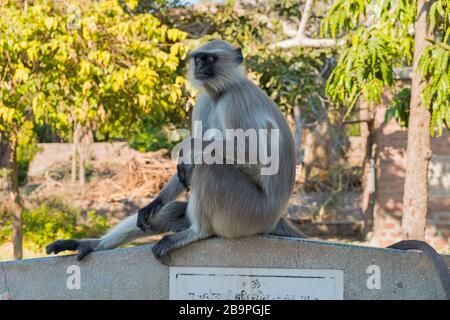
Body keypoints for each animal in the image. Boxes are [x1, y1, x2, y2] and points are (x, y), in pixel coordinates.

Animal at [44, 39, 306, 262]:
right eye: (198, 59)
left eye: (209, 59)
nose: (199, 66)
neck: (220, 92)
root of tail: (275, 217)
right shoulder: (204, 101)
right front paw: (155, 200)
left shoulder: (234, 100)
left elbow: (257, 156)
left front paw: (188, 149)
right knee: (170, 210)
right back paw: (92, 244)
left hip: (250, 214)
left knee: (210, 167)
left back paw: (199, 232)